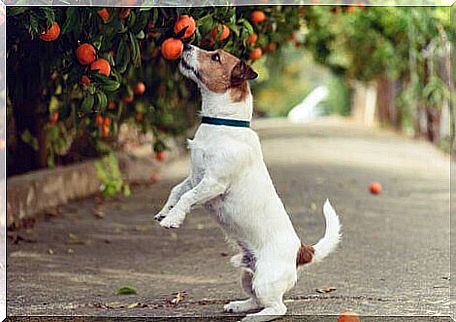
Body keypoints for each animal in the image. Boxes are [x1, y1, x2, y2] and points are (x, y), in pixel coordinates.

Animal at [155, 45, 340, 322]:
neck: (223, 124)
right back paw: (239, 306)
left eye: (215, 57)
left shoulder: (213, 183)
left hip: (265, 279)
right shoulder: (195, 177)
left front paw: (173, 219)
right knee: (255, 299)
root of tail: (301, 251)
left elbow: (187, 198)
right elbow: (177, 191)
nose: (186, 45)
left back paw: (254, 317)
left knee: (278, 307)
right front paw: (165, 212)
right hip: (247, 275)